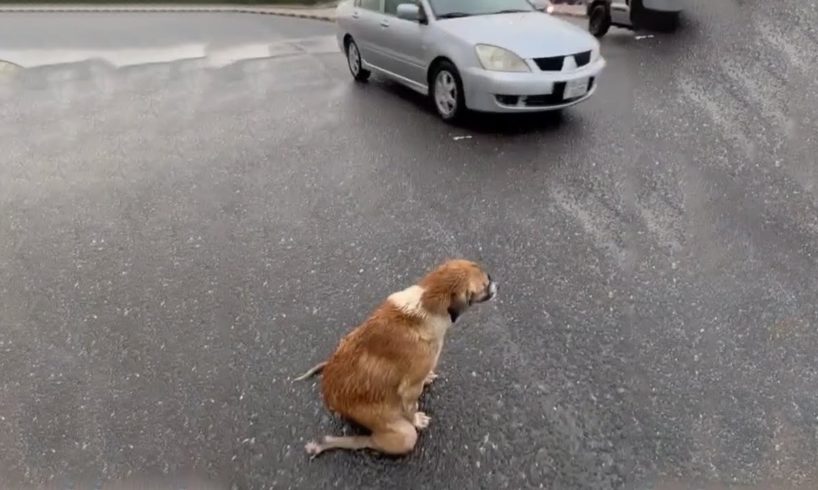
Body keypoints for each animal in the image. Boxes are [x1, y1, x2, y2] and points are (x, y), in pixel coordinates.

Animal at [296, 258, 494, 458]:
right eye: (485, 285)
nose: (495, 282)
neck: (426, 304)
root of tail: (330, 399)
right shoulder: (410, 389)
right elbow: (411, 407)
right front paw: (416, 419)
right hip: (403, 434)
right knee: (369, 441)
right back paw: (325, 443)